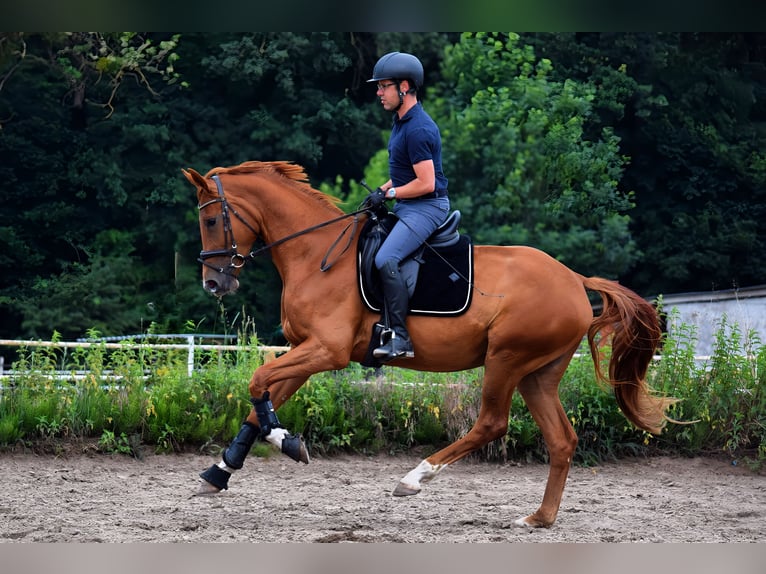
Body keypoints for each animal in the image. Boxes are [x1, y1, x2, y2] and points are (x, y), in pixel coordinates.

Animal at [184, 160, 677, 529]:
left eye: (210, 220)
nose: (213, 283)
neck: (315, 253)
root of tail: (574, 279)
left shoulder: (326, 350)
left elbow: (257, 380)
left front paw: (285, 442)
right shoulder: (305, 351)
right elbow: (259, 403)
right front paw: (221, 471)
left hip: (506, 358)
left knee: (491, 423)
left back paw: (414, 478)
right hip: (538, 373)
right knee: (561, 440)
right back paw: (539, 518)